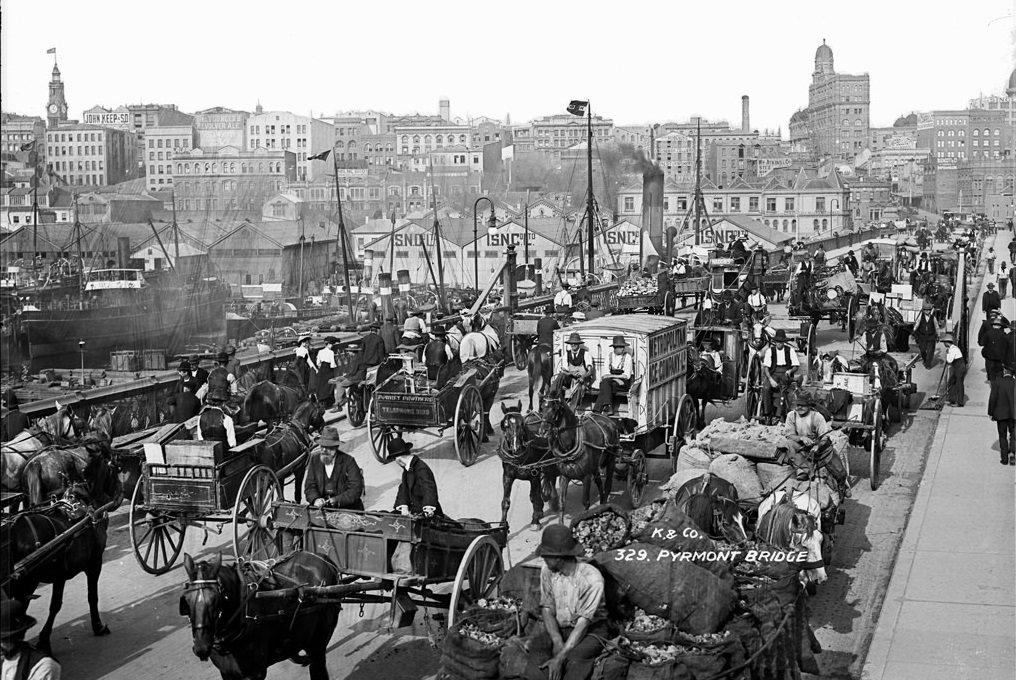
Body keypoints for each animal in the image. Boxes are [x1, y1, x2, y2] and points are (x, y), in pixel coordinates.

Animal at [495, 398, 560, 528]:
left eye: (522, 423)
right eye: (505, 425)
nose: (517, 448)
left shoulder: (533, 476)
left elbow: (534, 497)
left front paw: (535, 521)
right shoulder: (507, 476)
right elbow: (505, 502)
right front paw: (502, 524)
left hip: (548, 462)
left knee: (550, 478)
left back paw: (553, 501)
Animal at [540, 390, 617, 524]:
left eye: (555, 408)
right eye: (542, 407)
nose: (543, 431)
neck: (570, 445)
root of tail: (609, 420)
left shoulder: (586, 477)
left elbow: (585, 503)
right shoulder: (564, 476)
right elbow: (562, 503)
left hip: (611, 460)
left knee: (608, 484)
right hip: (595, 466)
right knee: (599, 482)